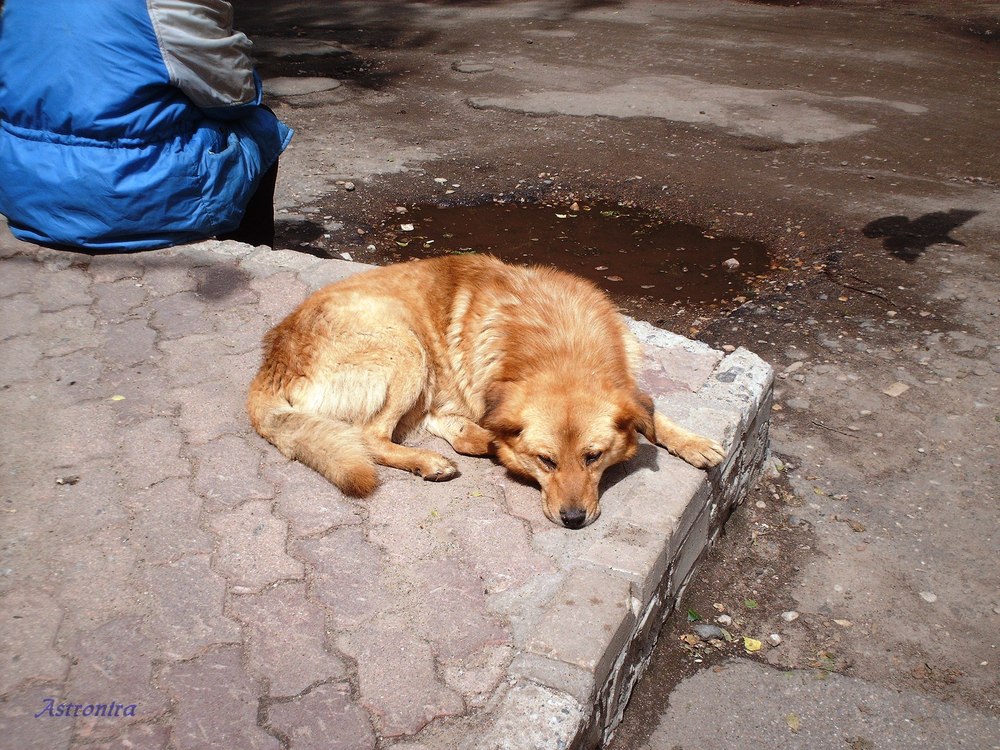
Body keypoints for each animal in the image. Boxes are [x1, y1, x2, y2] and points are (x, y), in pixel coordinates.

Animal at [246, 256, 724, 532]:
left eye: (593, 457)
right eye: (546, 461)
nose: (573, 521)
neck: (558, 346)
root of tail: (270, 362)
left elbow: (651, 413)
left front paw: (692, 441)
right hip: (405, 344)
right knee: (372, 436)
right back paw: (432, 460)